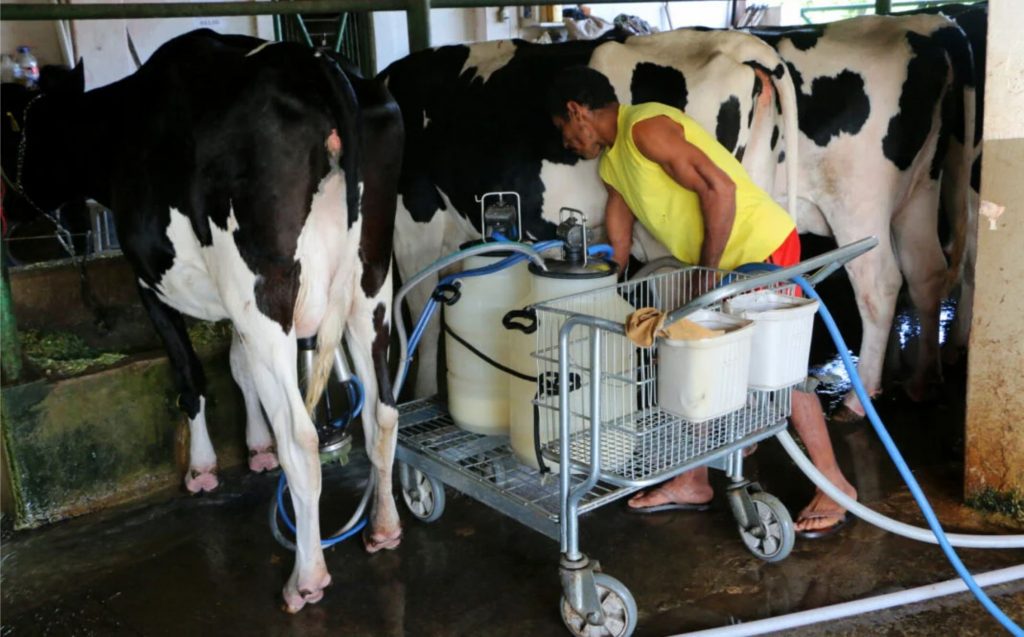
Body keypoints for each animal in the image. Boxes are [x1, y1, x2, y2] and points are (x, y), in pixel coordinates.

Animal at [3, 28, 403, 614]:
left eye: (4, 127)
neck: (118, 128)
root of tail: (317, 63)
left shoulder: (151, 282)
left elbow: (191, 376)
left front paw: (202, 467)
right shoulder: (232, 301)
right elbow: (237, 367)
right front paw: (255, 448)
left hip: (266, 289)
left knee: (303, 439)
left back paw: (306, 577)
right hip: (370, 284)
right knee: (383, 412)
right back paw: (383, 527)